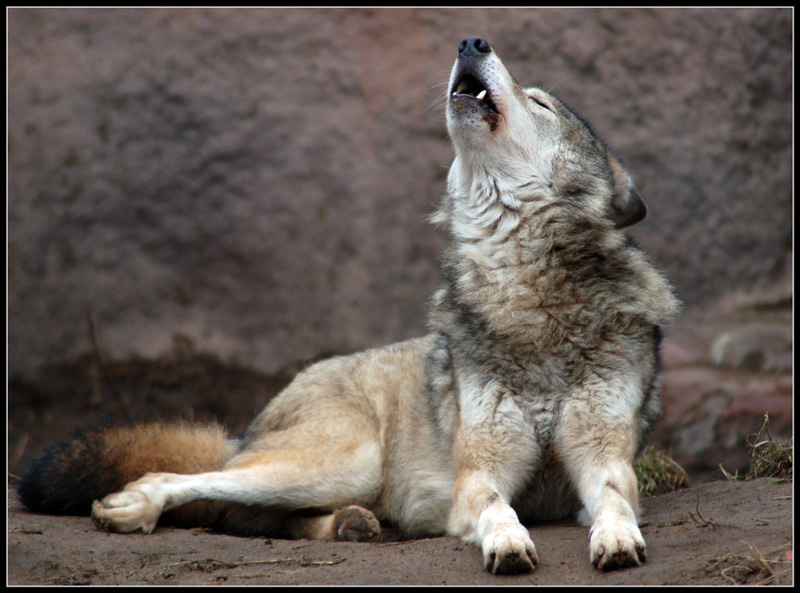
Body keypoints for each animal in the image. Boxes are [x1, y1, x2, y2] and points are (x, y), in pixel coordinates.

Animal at [19, 36, 680, 575]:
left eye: (540, 105)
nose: (472, 40)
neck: (526, 298)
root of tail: (256, 421)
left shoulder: (603, 456)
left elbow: (616, 500)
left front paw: (616, 539)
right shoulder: (479, 474)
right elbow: (498, 509)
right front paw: (508, 543)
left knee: (250, 515)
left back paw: (352, 525)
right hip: (345, 460)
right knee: (195, 485)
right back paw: (132, 507)